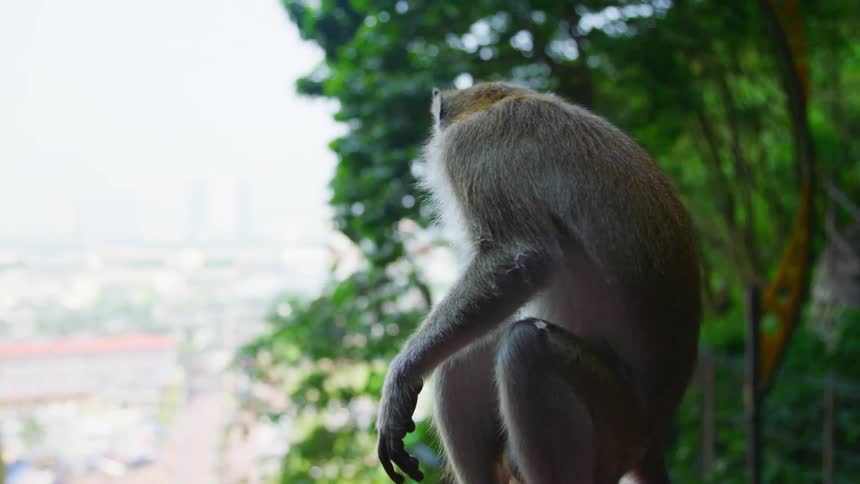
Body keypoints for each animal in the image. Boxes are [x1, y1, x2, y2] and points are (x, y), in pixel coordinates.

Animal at [376, 81, 701, 484]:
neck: (496, 99)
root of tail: (653, 438)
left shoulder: (469, 148)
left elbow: (520, 257)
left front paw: (400, 377)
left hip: (616, 425)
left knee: (526, 348)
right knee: (463, 356)